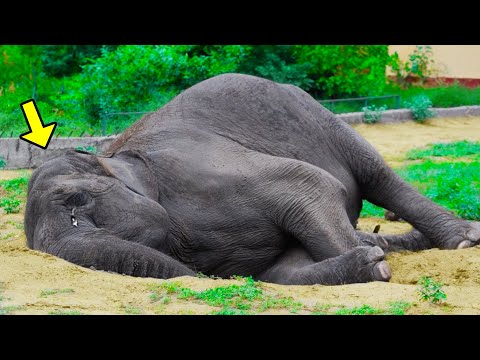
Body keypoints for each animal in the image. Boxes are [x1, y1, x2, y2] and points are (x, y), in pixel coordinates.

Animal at [25, 74, 480, 286]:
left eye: (76, 201)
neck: (115, 156)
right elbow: (280, 272)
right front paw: (370, 261)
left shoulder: (199, 169)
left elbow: (308, 183)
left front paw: (380, 269)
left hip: (321, 117)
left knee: (377, 175)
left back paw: (463, 240)